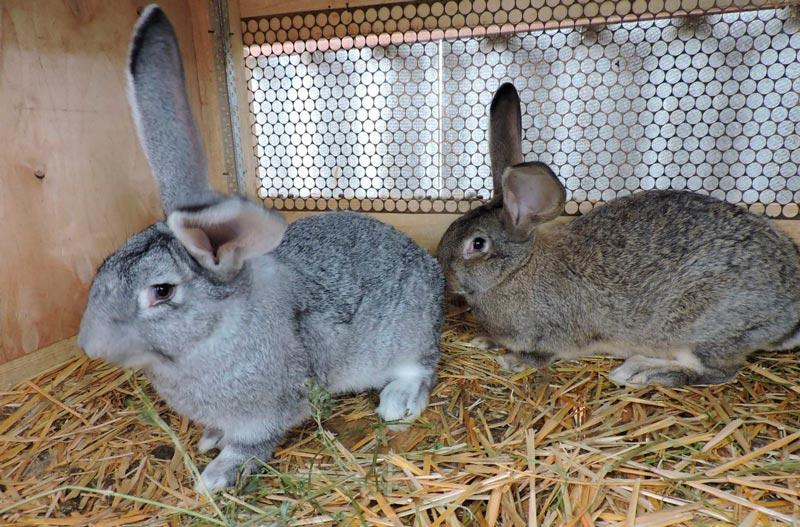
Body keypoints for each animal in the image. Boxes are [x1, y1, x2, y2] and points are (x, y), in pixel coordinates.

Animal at [78, 4, 444, 492]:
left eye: (162, 292)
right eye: (104, 266)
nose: (89, 345)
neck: (214, 336)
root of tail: (429, 265)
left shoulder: (267, 413)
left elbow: (253, 443)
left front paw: (216, 476)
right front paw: (210, 438)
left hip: (406, 332)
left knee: (421, 365)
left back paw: (397, 402)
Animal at [437, 82, 800, 388]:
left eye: (477, 244)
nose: (444, 276)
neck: (516, 270)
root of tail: (790, 311)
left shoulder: (554, 334)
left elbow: (541, 355)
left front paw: (511, 360)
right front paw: (483, 340)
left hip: (704, 329)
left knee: (718, 371)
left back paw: (641, 371)